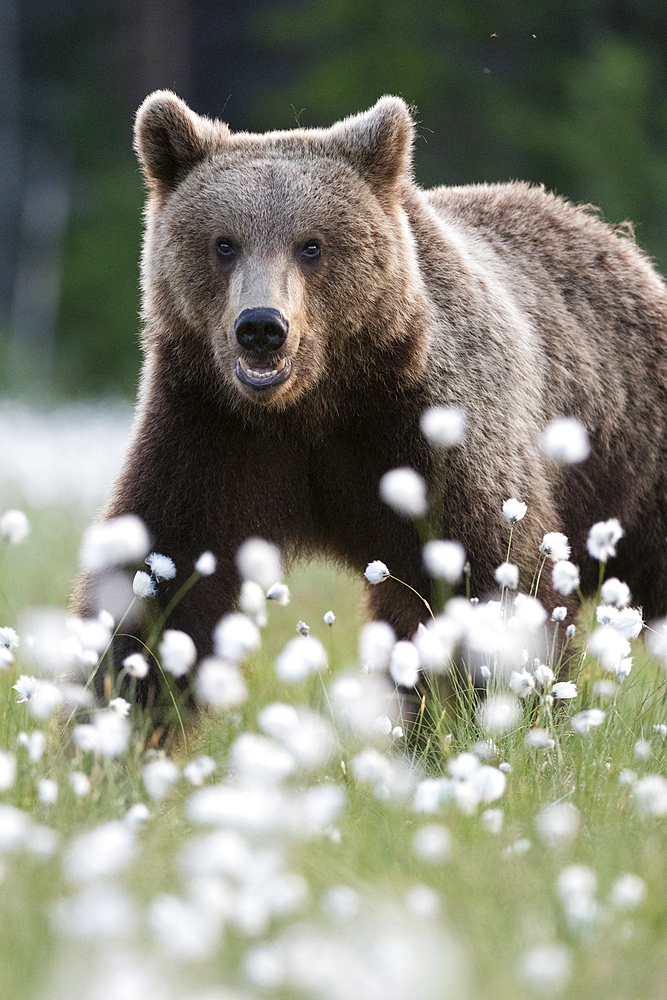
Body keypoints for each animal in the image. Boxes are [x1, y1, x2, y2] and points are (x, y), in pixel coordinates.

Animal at [78, 94, 667, 704]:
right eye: (224, 243)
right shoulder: (210, 428)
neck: (313, 404)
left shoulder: (426, 428)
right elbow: (165, 572)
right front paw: (123, 698)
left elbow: (497, 568)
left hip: (633, 445)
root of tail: (609, 234)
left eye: (311, 245)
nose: (262, 327)